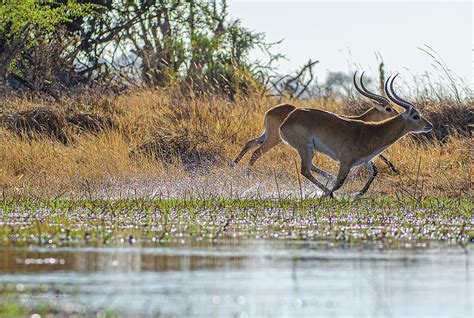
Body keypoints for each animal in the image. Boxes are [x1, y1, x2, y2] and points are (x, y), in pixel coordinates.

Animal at [232, 71, 400, 179]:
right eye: (388, 108)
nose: (398, 114)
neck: (359, 119)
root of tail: (270, 110)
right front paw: (394, 168)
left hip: (267, 135)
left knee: (250, 143)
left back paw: (233, 166)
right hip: (275, 139)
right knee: (256, 152)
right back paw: (247, 176)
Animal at [282, 75, 434, 198]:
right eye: (416, 116)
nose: (430, 125)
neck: (373, 131)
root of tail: (287, 119)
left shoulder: (364, 160)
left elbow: (374, 171)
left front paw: (358, 193)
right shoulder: (345, 163)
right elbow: (339, 184)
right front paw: (327, 197)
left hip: (310, 150)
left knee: (310, 168)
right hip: (305, 147)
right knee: (305, 170)